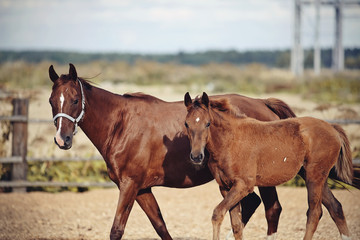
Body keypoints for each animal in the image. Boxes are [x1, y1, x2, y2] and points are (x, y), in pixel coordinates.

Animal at [184, 93, 352, 240]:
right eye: (186, 124)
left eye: (207, 123)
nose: (196, 156)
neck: (230, 141)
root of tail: (332, 128)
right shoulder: (225, 187)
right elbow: (236, 225)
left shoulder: (243, 185)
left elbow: (217, 213)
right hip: (315, 176)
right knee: (335, 207)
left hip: (314, 177)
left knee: (314, 212)